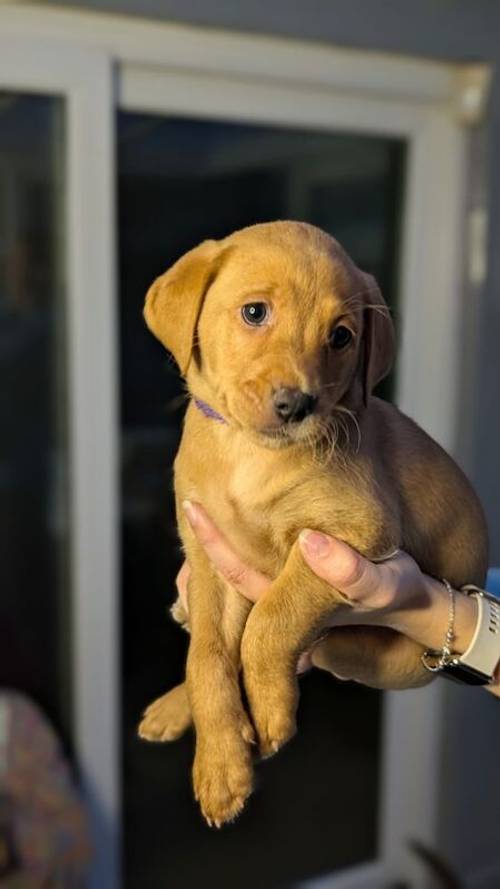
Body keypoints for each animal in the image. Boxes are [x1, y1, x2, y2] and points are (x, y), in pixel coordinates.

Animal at [138, 220, 488, 824]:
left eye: (341, 337)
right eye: (254, 313)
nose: (296, 405)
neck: (248, 453)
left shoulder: (355, 533)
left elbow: (271, 620)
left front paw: (270, 713)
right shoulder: (208, 561)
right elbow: (207, 656)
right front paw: (221, 766)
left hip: (373, 655)